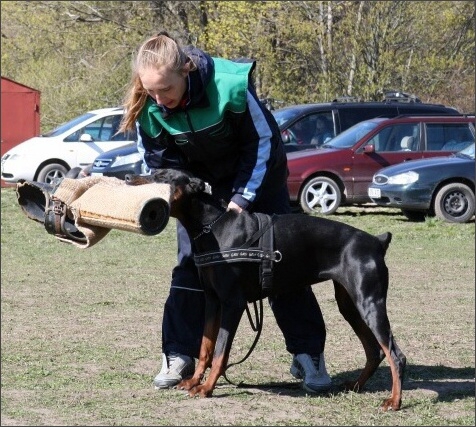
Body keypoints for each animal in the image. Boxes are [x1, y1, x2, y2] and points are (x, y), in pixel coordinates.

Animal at [125, 168, 406, 412]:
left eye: (162, 176)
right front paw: (194, 381)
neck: (213, 226)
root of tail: (376, 241)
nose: (127, 177)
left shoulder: (233, 303)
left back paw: (393, 401)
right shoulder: (213, 301)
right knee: (375, 351)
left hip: (369, 302)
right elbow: (206, 347)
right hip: (350, 304)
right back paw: (355, 385)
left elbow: (220, 351)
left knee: (395, 355)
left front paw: (207, 388)